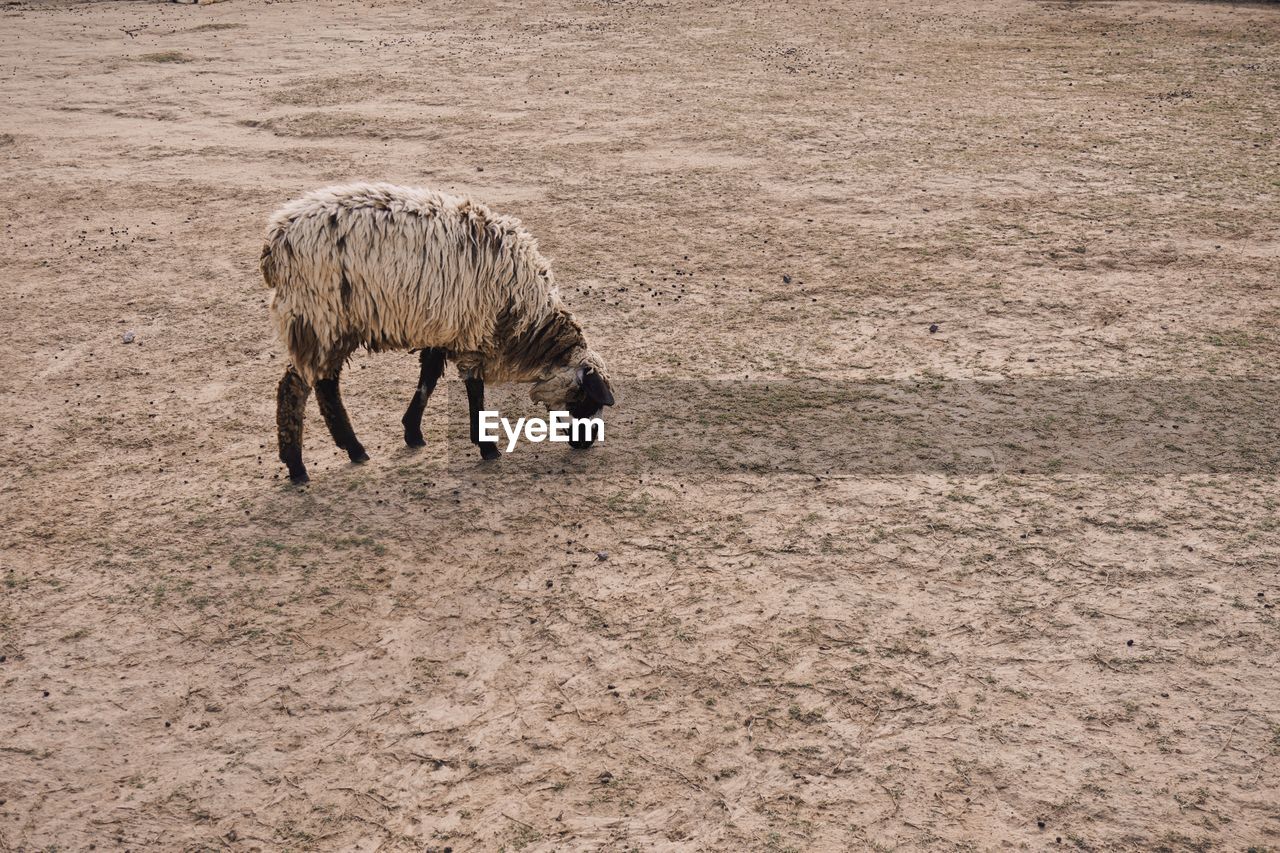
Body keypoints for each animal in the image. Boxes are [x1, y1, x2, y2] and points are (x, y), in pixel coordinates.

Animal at [261, 181, 614, 481]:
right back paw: (299, 465)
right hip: (318, 318)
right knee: (295, 387)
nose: (587, 443)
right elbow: (474, 389)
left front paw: (412, 432)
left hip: (327, 324)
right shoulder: (473, 332)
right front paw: (487, 447)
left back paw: (351, 450)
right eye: (585, 397)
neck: (525, 318)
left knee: (324, 384)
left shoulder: (443, 328)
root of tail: (274, 242)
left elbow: (427, 379)